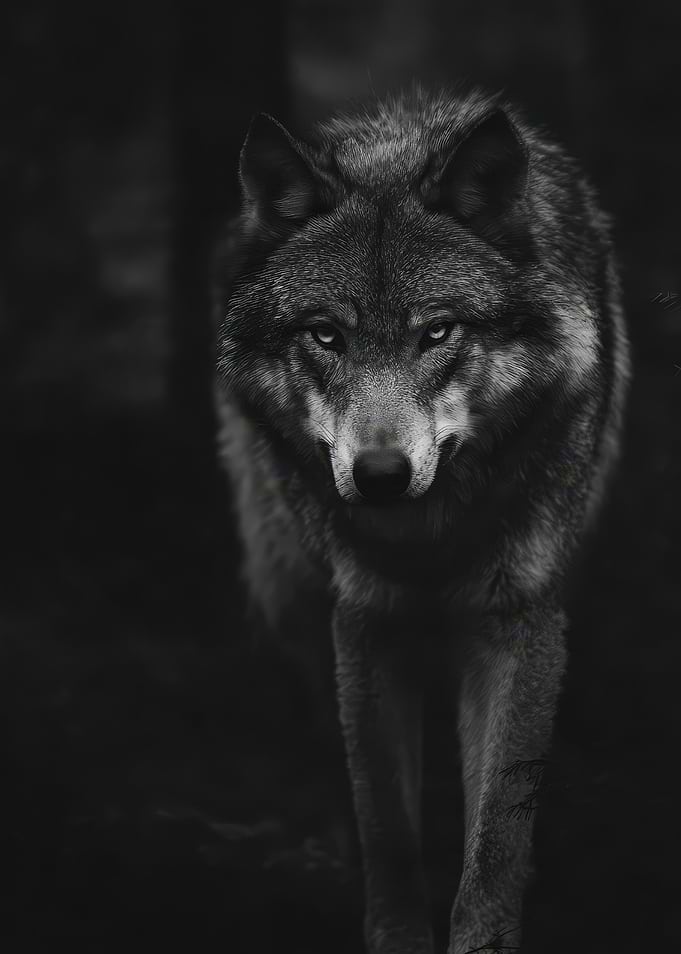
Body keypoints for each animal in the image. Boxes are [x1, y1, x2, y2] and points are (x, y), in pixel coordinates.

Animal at [215, 87, 630, 954]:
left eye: (436, 332)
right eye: (325, 335)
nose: (380, 476)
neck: (430, 540)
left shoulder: (520, 624)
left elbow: (496, 842)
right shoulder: (363, 622)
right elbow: (389, 833)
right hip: (287, 593)